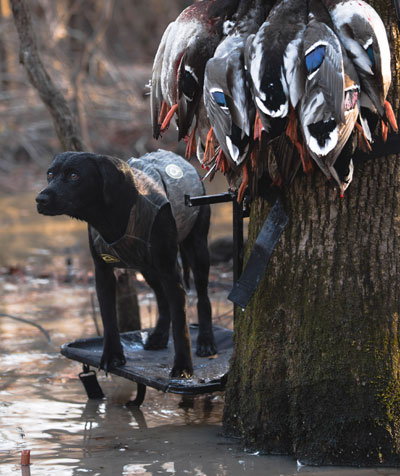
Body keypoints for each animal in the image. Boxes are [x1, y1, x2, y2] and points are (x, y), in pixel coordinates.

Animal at [37, 151, 216, 378]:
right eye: (50, 174)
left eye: (74, 175)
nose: (40, 199)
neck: (111, 215)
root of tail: (182, 159)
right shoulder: (103, 273)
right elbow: (109, 319)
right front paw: (112, 355)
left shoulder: (170, 270)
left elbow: (180, 324)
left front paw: (183, 367)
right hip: (147, 268)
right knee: (162, 300)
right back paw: (158, 336)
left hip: (197, 250)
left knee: (203, 297)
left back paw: (206, 340)